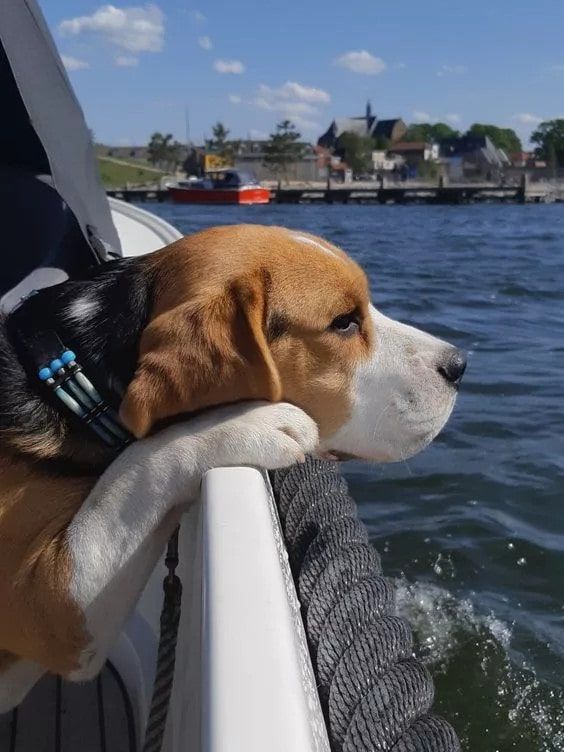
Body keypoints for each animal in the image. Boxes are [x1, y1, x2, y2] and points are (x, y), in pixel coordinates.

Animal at [0, 225, 468, 712]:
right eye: (343, 322)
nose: (459, 365)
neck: (71, 372)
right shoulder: (51, 605)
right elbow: (137, 462)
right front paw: (247, 423)